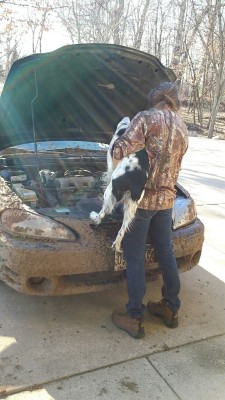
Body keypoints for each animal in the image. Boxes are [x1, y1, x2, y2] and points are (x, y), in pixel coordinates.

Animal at [89, 117, 149, 252]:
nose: (126, 118)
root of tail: (135, 180)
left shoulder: (111, 164)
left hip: (110, 192)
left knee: (104, 211)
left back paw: (95, 217)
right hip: (131, 207)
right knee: (122, 230)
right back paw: (116, 245)